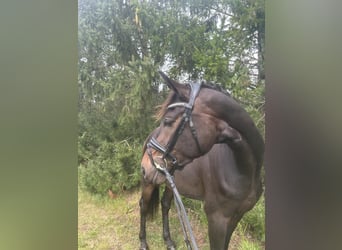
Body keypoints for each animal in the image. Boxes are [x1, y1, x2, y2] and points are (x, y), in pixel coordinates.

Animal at [139, 71, 264, 249]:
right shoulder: (217, 219)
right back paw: (143, 242)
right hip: (149, 183)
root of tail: (150, 135)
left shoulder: (235, 217)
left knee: (165, 205)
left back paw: (168, 241)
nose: (145, 166)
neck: (244, 171)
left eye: (168, 120)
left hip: (171, 182)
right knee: (143, 206)